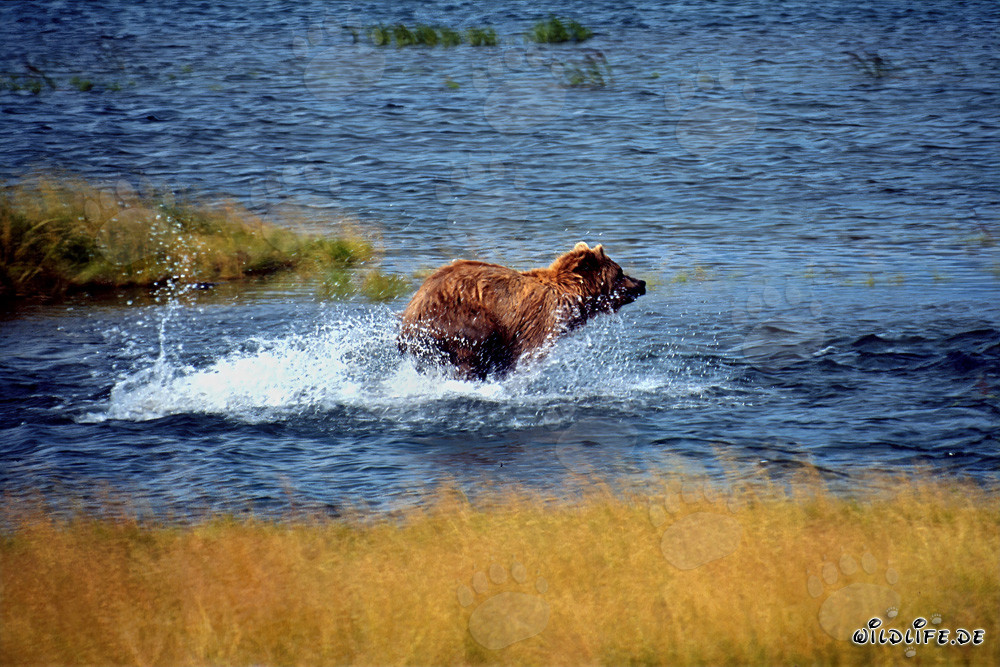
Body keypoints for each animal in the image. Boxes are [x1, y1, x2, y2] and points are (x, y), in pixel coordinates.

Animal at [398, 242, 645, 380]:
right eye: (619, 272)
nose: (642, 283)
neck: (568, 299)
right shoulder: (534, 322)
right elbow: (521, 354)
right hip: (460, 318)